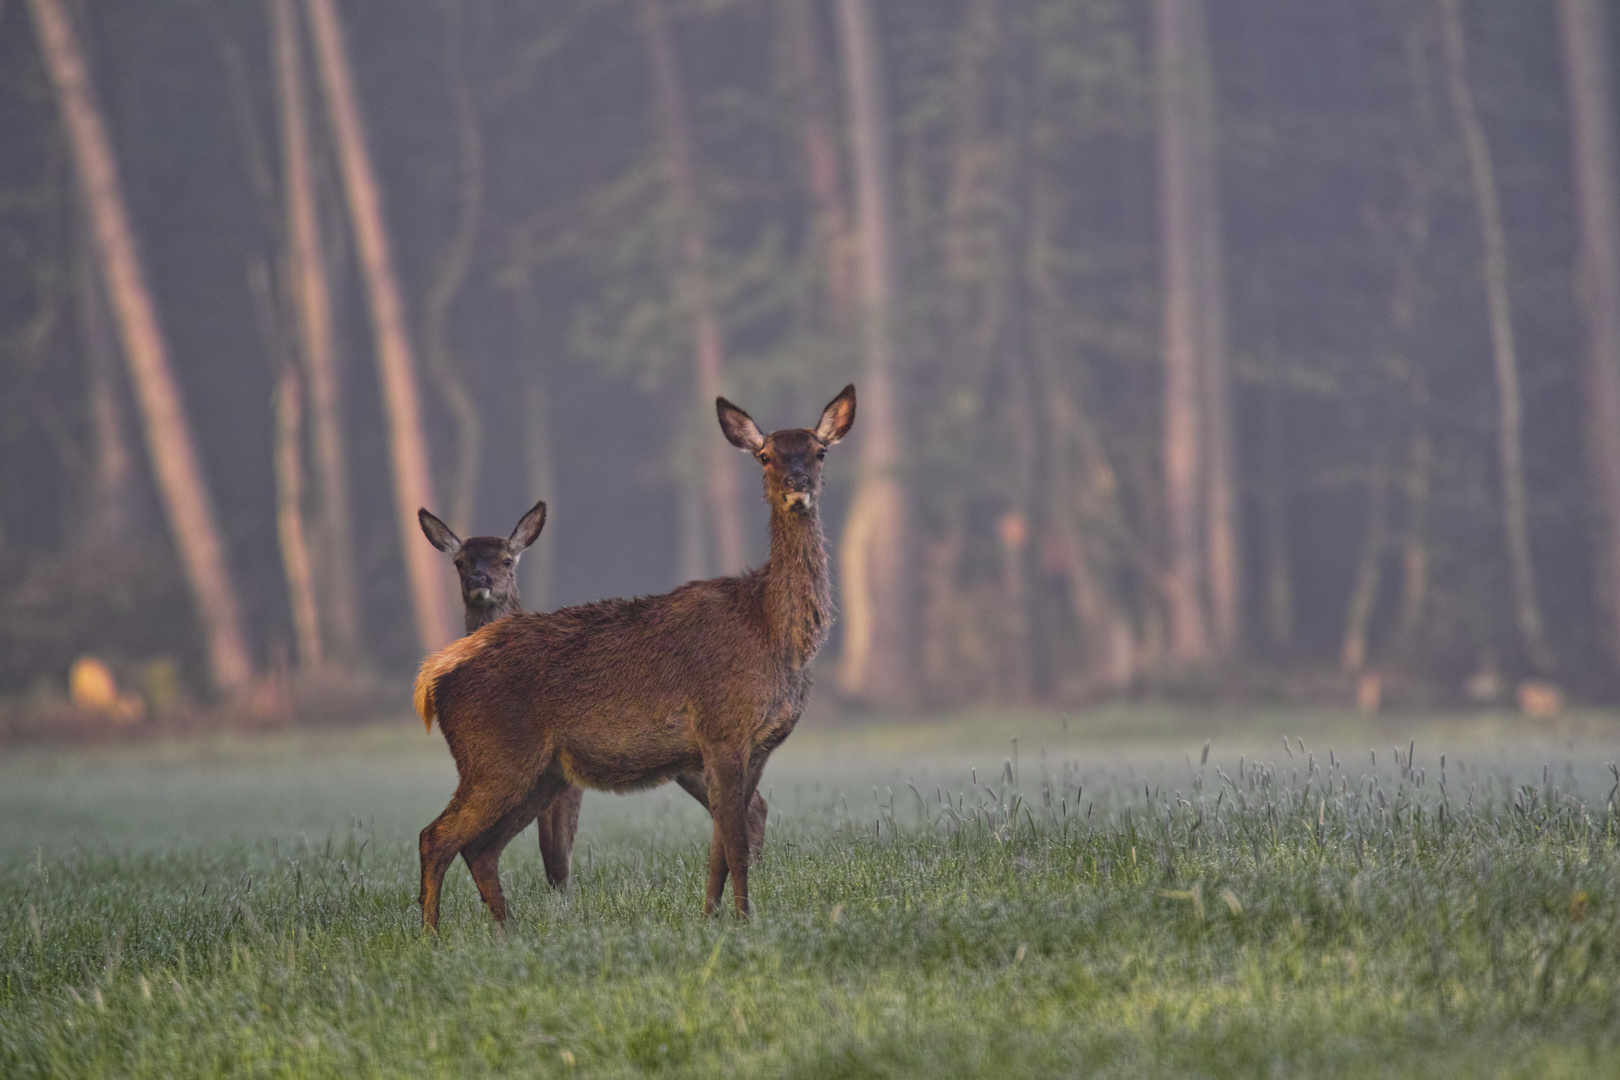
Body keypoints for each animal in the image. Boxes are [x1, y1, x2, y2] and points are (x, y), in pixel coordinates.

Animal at [417, 501, 771, 900]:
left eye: (507, 560)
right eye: (460, 562)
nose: (480, 581)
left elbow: (555, 845)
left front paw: (563, 895)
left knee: (755, 804)